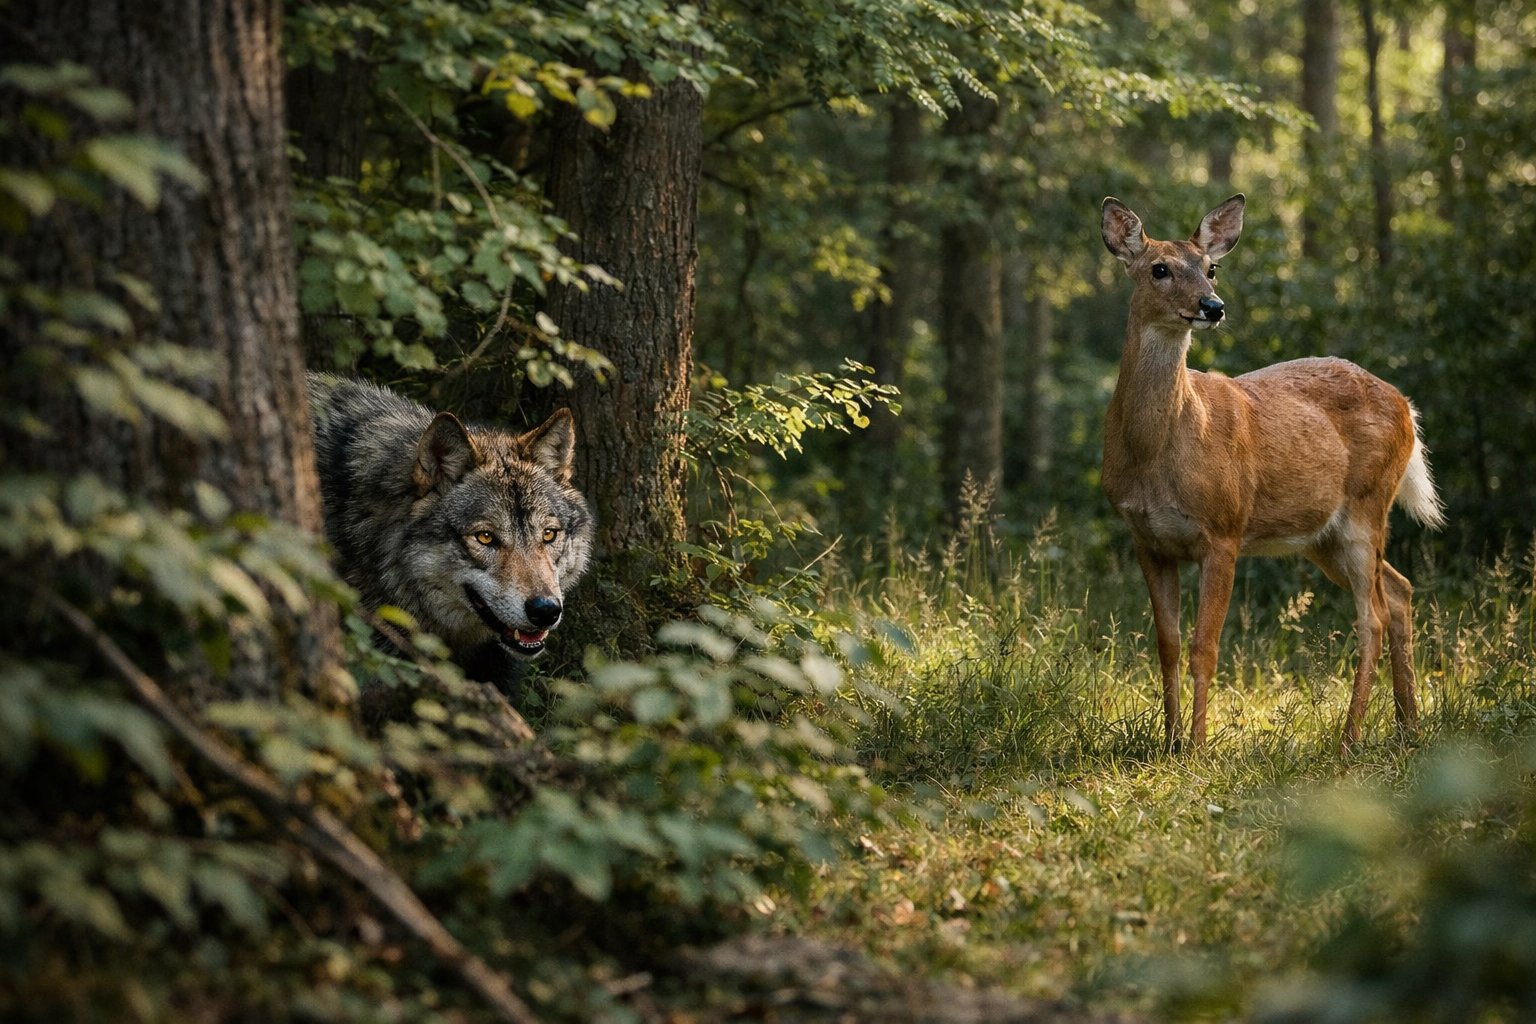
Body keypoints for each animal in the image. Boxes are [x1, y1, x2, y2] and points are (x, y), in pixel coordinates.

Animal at [1098, 194, 1445, 756]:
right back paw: (1407, 726)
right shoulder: (1146, 538)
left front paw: (1198, 748)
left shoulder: (1224, 530)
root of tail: (1408, 407)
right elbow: (1168, 644)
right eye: (1159, 269)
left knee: (1371, 615)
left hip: (1367, 506)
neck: (1156, 455)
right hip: (1322, 535)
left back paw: (1349, 737)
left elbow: (1205, 645)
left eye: (1211, 268)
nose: (1212, 306)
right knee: (1399, 591)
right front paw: (1169, 742)